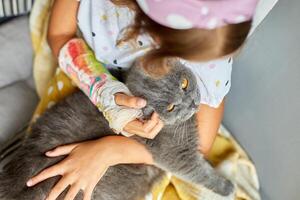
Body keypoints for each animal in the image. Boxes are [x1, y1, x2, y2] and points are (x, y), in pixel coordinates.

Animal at [0, 60, 234, 198]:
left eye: (184, 83)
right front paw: (228, 187)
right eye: (170, 107)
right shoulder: (178, 156)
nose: (193, 103)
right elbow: (201, 174)